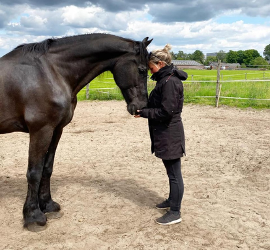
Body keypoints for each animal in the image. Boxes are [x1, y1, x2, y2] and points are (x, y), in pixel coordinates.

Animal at [0, 33, 152, 229]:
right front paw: (33, 215)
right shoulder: (40, 130)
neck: (50, 72)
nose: (141, 107)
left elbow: (47, 168)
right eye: (141, 70)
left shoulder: (56, 130)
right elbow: (34, 172)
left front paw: (47, 204)